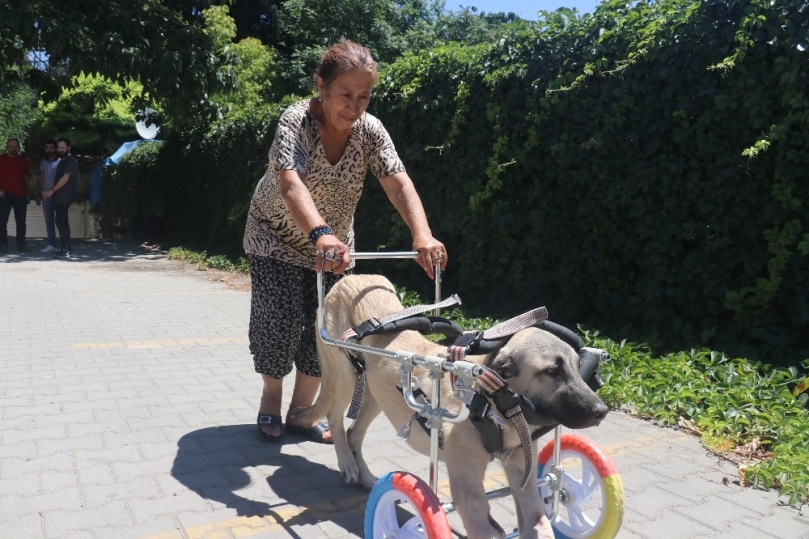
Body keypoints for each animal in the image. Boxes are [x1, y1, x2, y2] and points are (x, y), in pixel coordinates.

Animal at [296, 276, 608, 536]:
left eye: (576, 367)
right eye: (552, 371)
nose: (601, 411)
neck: (490, 402)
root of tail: (353, 277)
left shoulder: (525, 481)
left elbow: (540, 522)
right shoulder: (469, 493)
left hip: (375, 393)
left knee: (355, 434)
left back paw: (366, 477)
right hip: (345, 378)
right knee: (335, 419)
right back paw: (347, 463)